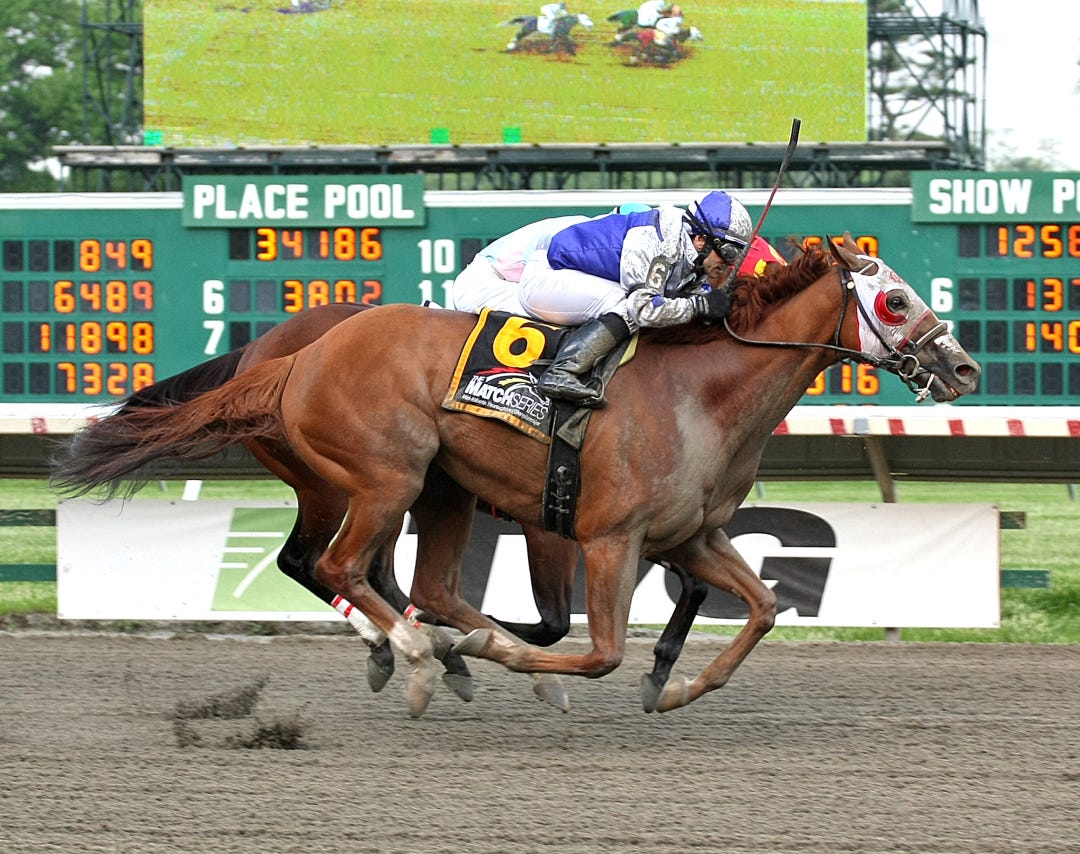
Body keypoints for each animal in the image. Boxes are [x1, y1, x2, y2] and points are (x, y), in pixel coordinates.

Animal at [101, 301, 709, 708]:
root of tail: (265, 353)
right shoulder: (556, 525)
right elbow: (555, 621)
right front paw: (482, 638)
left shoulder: (648, 518)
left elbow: (694, 580)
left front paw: (661, 667)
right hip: (351, 485)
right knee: (313, 561)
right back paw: (414, 645)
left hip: (384, 490)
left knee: (360, 571)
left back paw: (413, 645)